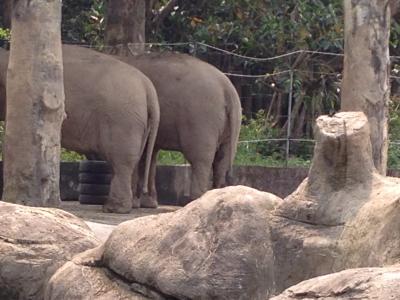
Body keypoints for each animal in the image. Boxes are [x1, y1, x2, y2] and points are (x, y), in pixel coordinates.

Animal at [117, 52, 242, 205]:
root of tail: (227, 88)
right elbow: (150, 154)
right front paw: (149, 203)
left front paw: (137, 203)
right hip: (229, 125)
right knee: (222, 160)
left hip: (201, 120)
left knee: (201, 160)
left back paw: (196, 200)